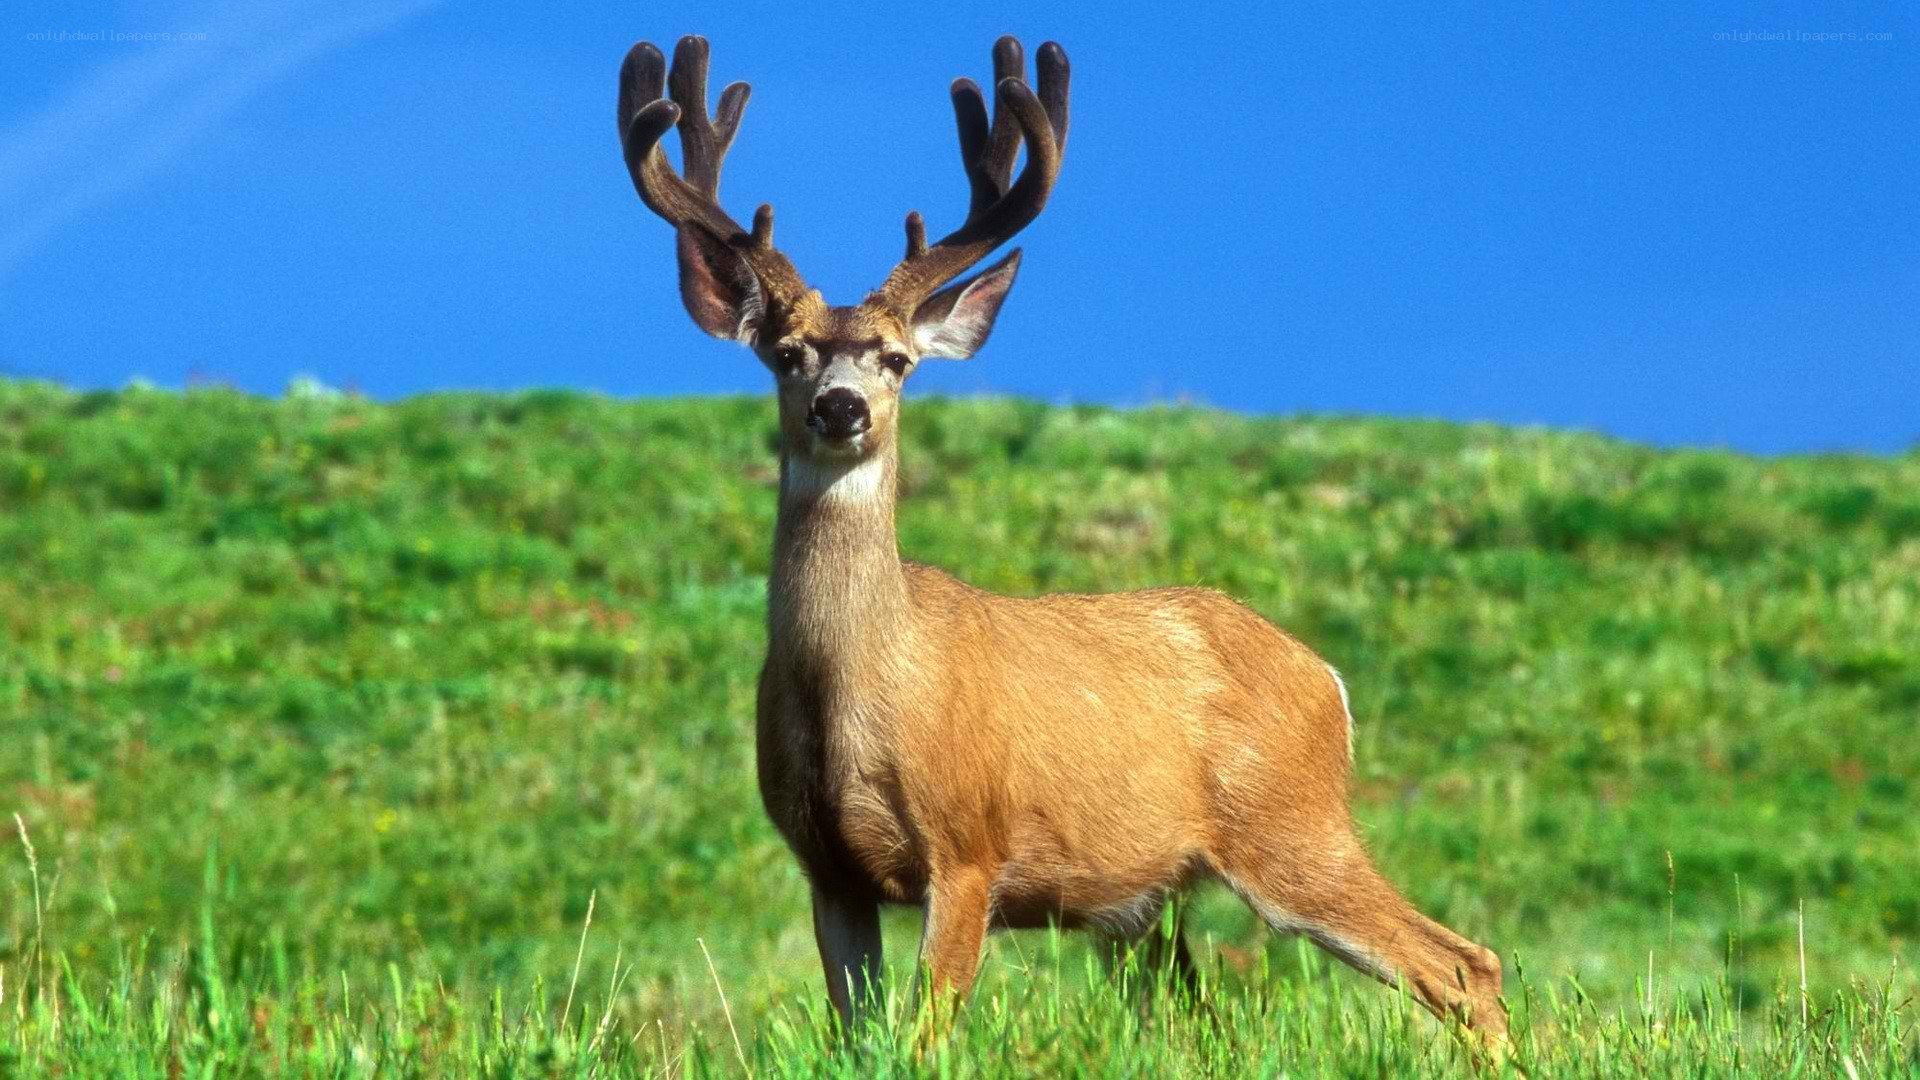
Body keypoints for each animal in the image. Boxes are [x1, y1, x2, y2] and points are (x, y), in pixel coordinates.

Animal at [616, 34, 1507, 1040]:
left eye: (898, 360)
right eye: (785, 353)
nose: (840, 408)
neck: (859, 689)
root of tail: (1328, 680)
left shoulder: (969, 845)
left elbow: (926, 1032)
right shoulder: (826, 866)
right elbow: (859, 1032)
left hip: (1292, 825)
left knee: (1463, 963)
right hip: (1150, 902)